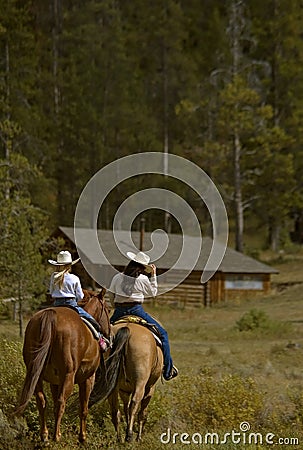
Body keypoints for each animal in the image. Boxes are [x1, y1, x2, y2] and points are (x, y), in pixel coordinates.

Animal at [14, 288, 111, 442]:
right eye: (108, 309)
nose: (109, 335)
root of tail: (50, 316)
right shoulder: (88, 378)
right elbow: (83, 408)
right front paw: (82, 437)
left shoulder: (55, 382)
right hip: (68, 376)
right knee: (61, 403)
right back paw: (56, 436)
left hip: (35, 374)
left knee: (41, 400)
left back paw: (45, 435)